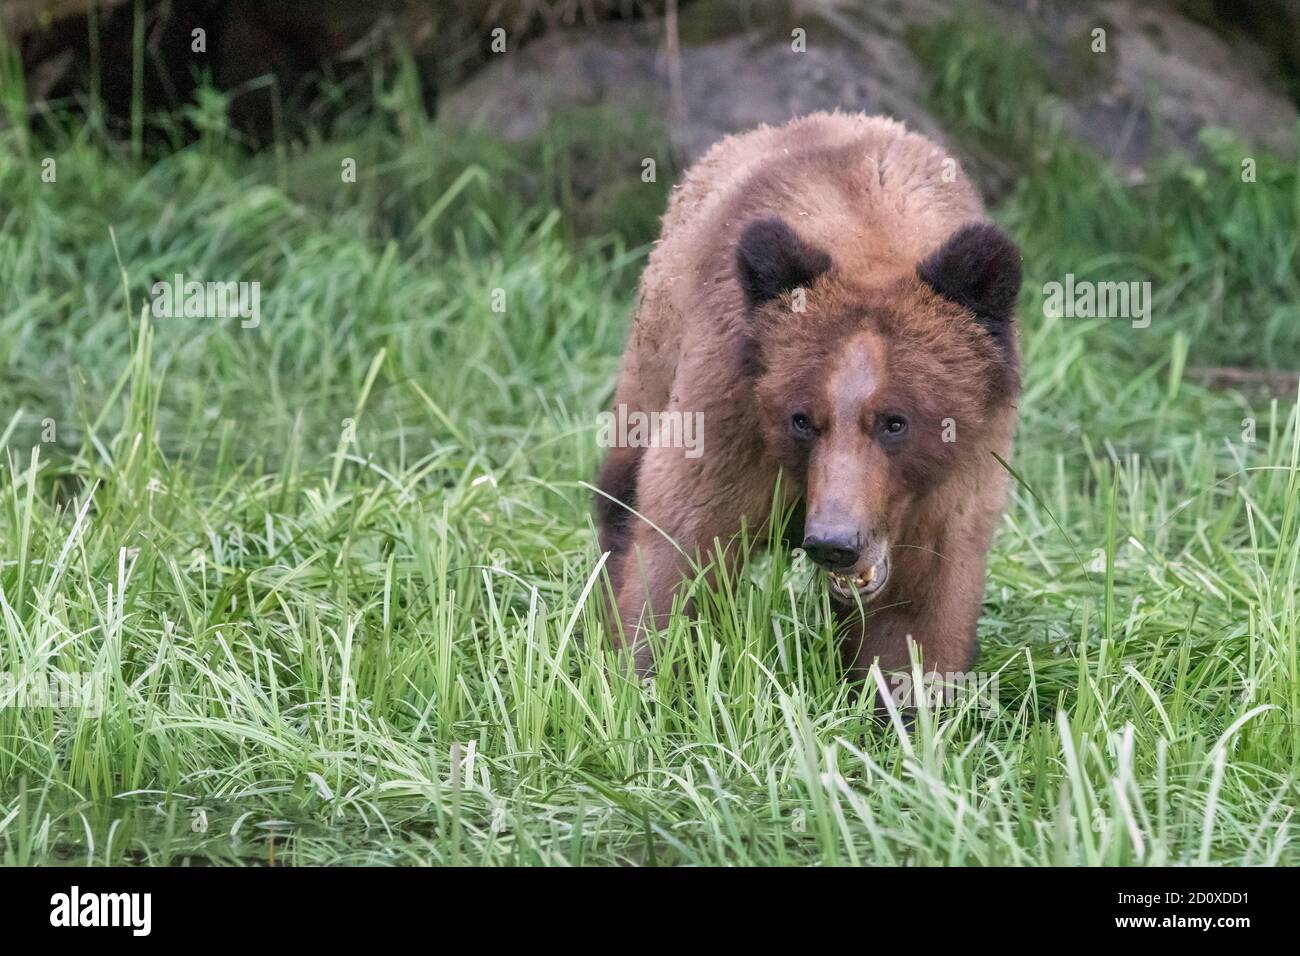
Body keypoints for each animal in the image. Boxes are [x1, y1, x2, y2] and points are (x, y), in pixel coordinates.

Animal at [595, 111, 1019, 686]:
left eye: (896, 421)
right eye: (801, 419)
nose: (835, 543)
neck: (871, 234)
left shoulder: (955, 479)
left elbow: (919, 612)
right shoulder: (730, 409)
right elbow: (679, 547)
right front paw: (645, 675)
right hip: (653, 354)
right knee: (619, 496)